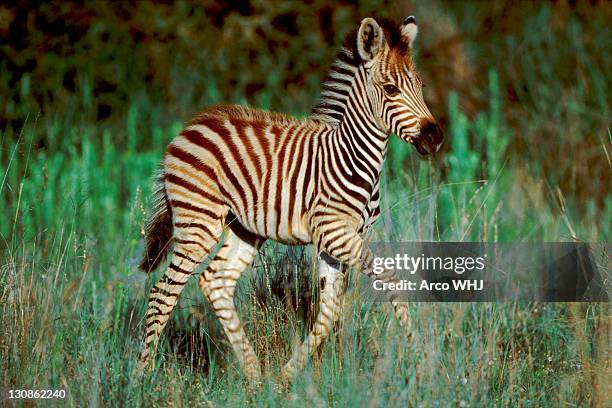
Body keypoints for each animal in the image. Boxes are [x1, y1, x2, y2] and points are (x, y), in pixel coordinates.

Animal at [136, 15, 444, 384]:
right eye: (390, 90)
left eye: (421, 85)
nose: (435, 137)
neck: (352, 155)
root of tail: (188, 128)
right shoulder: (334, 233)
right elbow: (390, 279)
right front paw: (423, 363)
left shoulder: (338, 240)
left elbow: (329, 311)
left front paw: (294, 375)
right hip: (199, 222)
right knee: (162, 293)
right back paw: (141, 377)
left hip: (245, 228)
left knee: (216, 281)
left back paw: (255, 377)